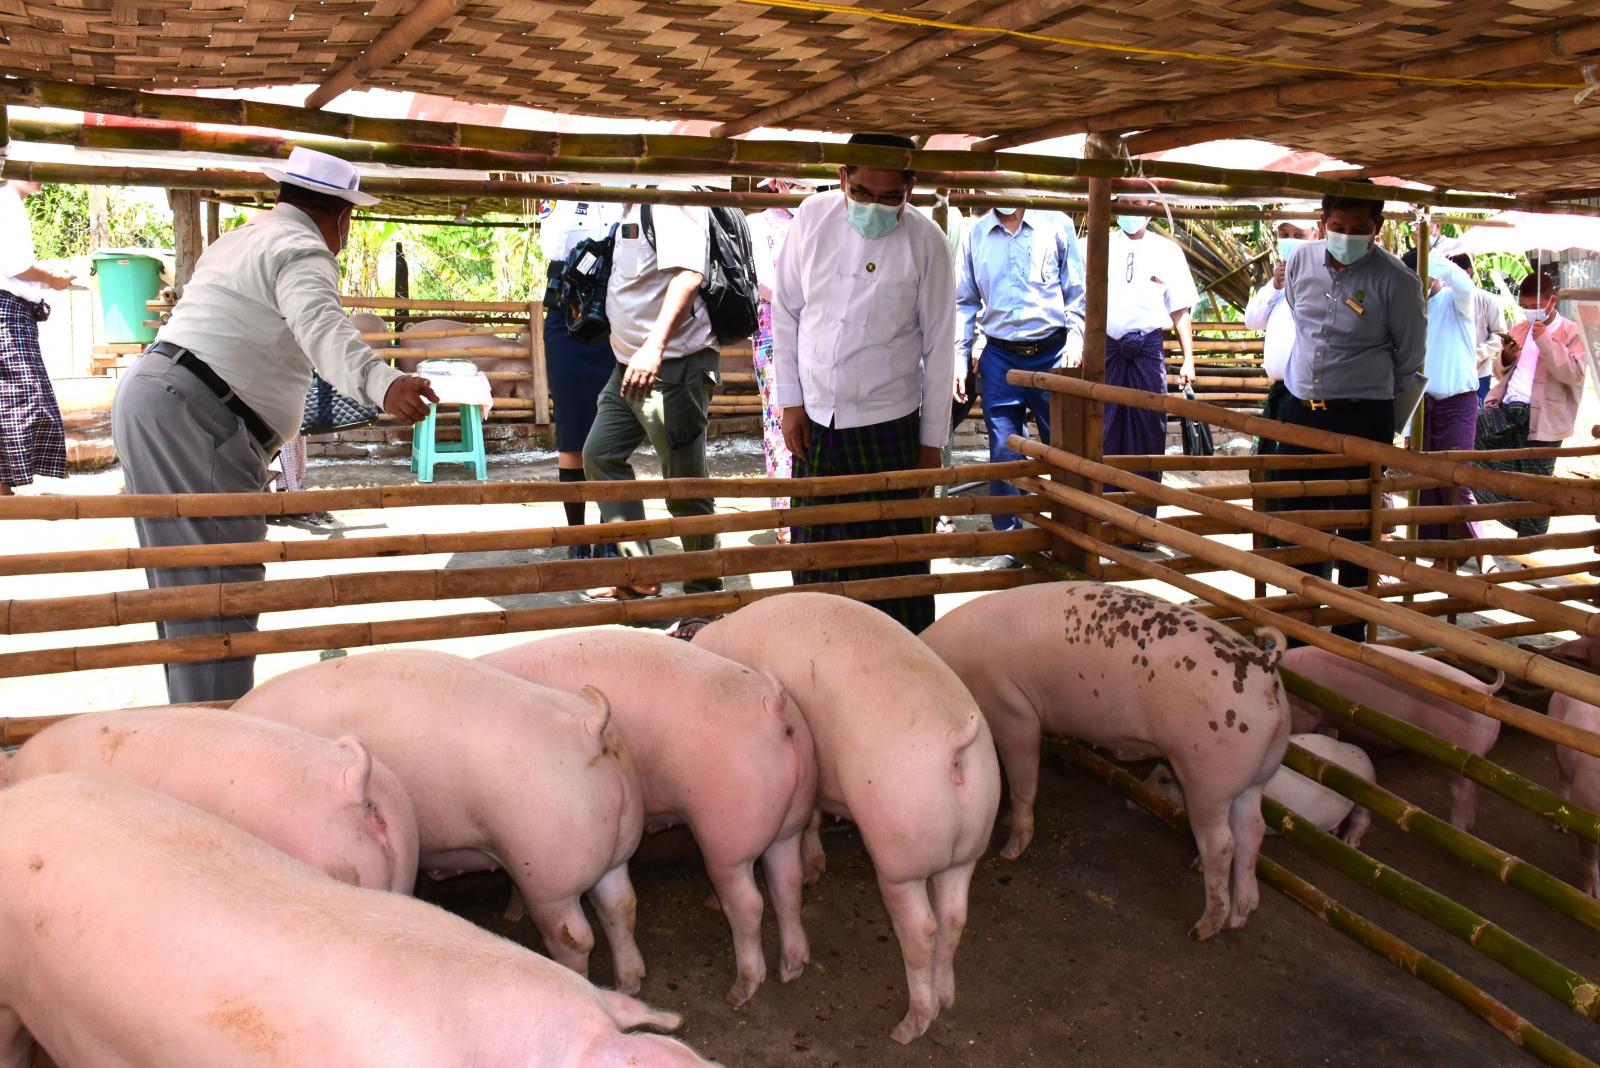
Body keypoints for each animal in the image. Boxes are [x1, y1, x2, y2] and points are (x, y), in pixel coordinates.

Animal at [230, 649, 648, 992]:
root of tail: (590, 727)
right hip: (616, 852)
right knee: (621, 907)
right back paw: (629, 983)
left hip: (549, 872)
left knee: (574, 937)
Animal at [480, 630, 817, 1007]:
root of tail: (774, 703)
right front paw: (512, 911)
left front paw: (510, 915)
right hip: (791, 820)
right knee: (788, 883)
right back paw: (791, 969)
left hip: (728, 838)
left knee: (748, 902)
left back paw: (739, 991)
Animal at [693, 592, 1000, 1045]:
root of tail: (956, 745)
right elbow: (811, 821)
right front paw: (812, 871)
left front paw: (713, 901)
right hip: (969, 845)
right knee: (954, 917)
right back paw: (946, 999)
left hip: (898, 855)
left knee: (921, 930)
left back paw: (908, 1027)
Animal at [921, 582, 1290, 941]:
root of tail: (1267, 665)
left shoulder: (1012, 712)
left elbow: (1023, 782)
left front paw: (1009, 851)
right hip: (1256, 774)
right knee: (1252, 829)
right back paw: (1240, 915)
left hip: (1208, 775)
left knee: (1222, 843)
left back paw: (1203, 928)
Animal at [1280, 645, 1503, 830]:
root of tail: (1485, 688)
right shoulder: (1327, 717)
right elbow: (1328, 734)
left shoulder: (1304, 715)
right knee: (1471, 791)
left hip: (1456, 755)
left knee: (1461, 794)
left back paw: (1457, 827)